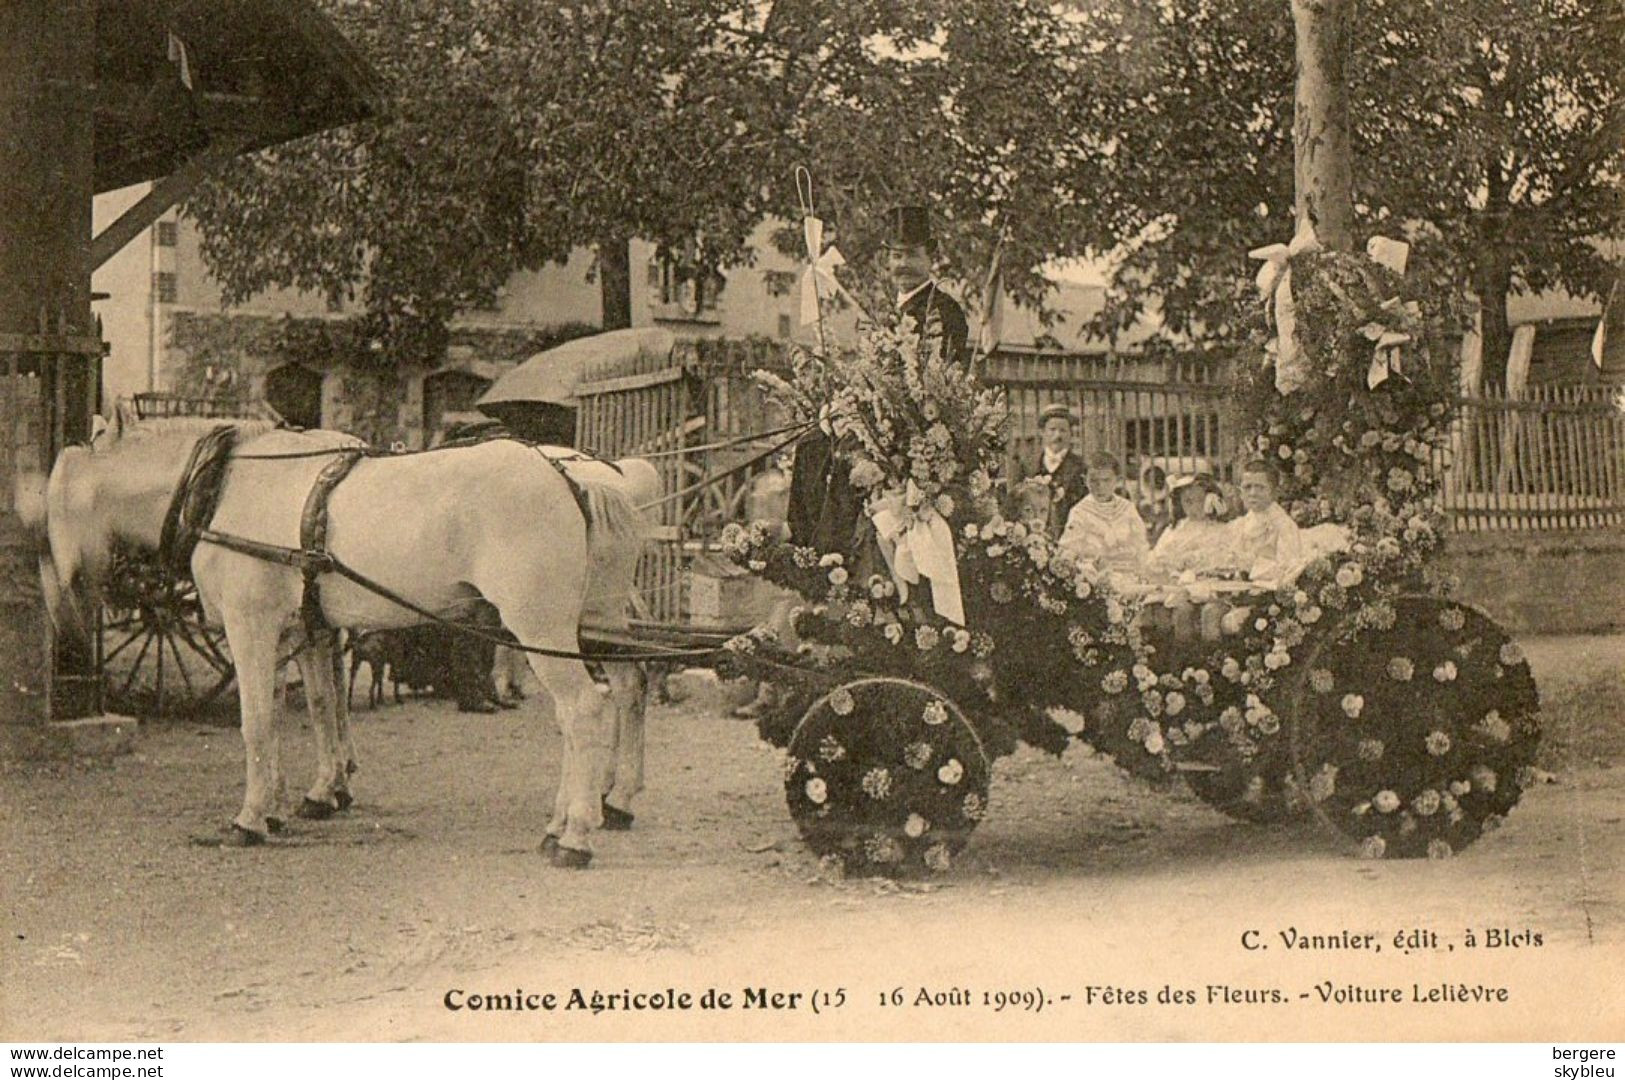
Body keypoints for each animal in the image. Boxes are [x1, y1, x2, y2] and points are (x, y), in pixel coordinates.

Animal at [34, 412, 643, 870]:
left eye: (55, 505)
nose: (64, 611)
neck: (221, 487)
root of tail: (570, 478)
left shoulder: (250, 627)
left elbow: (257, 723)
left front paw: (250, 819)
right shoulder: (305, 630)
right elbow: (317, 708)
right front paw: (299, 800)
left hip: (540, 627)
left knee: (585, 709)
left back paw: (575, 836)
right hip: (587, 623)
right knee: (616, 692)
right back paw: (579, 816)